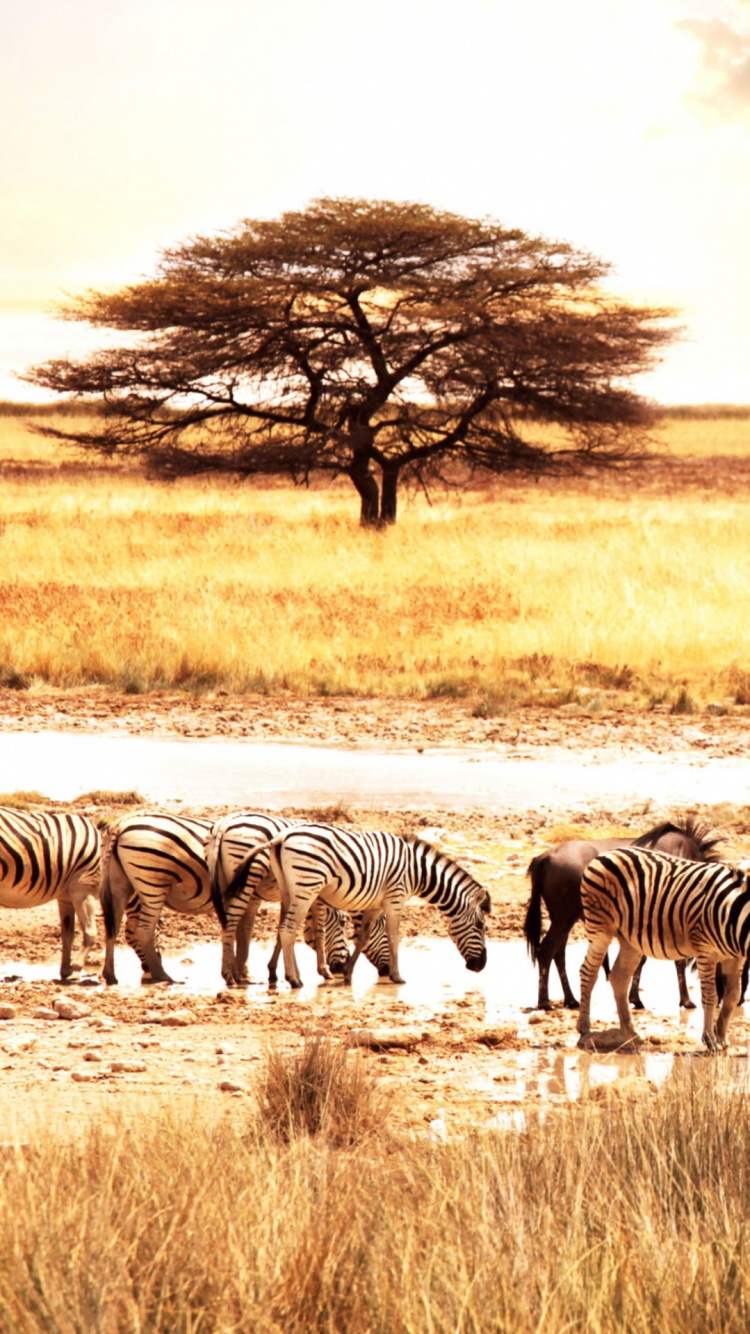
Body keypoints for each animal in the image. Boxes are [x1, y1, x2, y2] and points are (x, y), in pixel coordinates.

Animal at [0, 807, 100, 980]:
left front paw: (66, 970)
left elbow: (68, 934)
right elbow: (90, 931)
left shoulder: (66, 896)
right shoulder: (83, 889)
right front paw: (76, 969)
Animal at [102, 811, 356, 986]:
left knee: (114, 928)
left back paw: (113, 974)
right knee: (142, 930)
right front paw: (323, 970)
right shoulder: (308, 892)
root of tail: (121, 823)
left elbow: (258, 931)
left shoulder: (267, 894)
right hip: (153, 882)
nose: (341, 966)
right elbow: (318, 930)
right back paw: (163, 975)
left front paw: (255, 971)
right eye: (344, 923)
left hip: (122, 885)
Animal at [227, 823, 491, 988]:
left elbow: (363, 938)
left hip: (288, 888)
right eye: (480, 926)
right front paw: (397, 976)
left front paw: (348, 974)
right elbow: (394, 937)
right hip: (307, 886)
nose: (480, 966)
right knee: (288, 930)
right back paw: (294, 979)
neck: (417, 872)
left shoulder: (375, 903)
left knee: (282, 930)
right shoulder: (395, 897)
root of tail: (281, 837)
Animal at [578, 846, 750, 1052]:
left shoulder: (735, 957)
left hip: (629, 940)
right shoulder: (705, 951)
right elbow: (711, 996)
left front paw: (722, 1039)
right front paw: (710, 1040)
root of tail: (608, 852)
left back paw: (632, 1034)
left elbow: (732, 996)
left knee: (619, 977)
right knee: (588, 972)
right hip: (599, 928)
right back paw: (585, 1029)